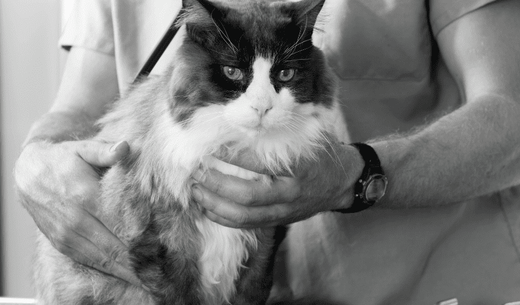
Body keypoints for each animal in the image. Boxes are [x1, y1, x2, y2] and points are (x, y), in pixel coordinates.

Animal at [32, 0, 350, 302]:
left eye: (285, 74)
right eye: (232, 71)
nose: (262, 107)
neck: (236, 148)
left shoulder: (265, 239)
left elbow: (251, 290)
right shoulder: (163, 240)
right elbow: (178, 293)